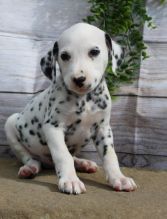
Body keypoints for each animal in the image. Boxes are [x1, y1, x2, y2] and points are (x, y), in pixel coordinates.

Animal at [4, 23, 137, 194]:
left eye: (94, 52)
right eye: (65, 56)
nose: (79, 79)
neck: (85, 99)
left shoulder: (103, 129)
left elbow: (110, 156)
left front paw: (119, 178)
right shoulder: (53, 128)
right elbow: (63, 155)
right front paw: (70, 180)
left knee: (72, 156)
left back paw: (83, 163)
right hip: (11, 124)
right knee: (30, 158)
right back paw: (29, 168)